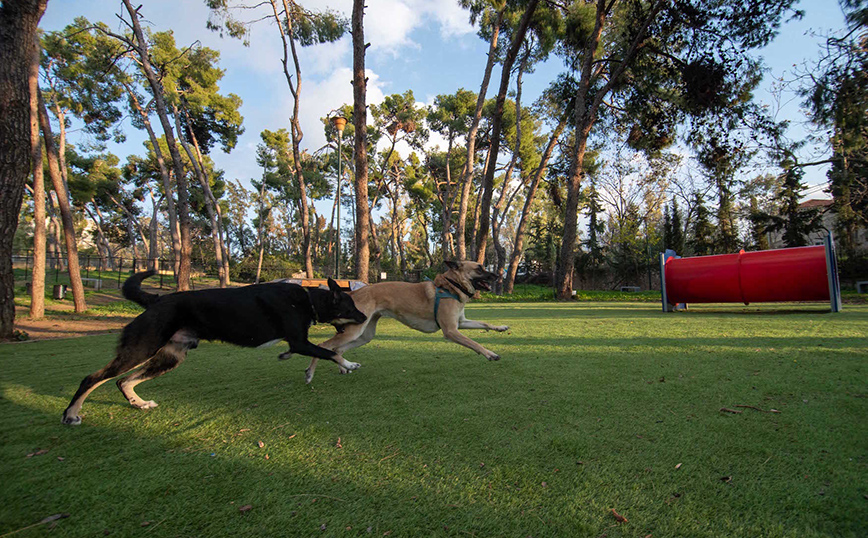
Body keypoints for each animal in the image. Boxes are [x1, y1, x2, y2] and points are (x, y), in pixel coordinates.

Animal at [62, 270, 366, 426]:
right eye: (351, 307)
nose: (364, 317)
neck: (307, 299)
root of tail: (156, 301)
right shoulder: (300, 341)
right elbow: (330, 352)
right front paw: (349, 364)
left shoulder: (298, 342)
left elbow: (308, 351)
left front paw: (287, 357)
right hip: (142, 348)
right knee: (92, 379)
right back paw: (71, 414)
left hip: (170, 357)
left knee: (123, 381)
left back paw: (139, 403)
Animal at [304, 260, 512, 382]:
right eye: (479, 268)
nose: (498, 275)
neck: (450, 286)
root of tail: (355, 292)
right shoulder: (451, 331)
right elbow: (475, 343)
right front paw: (490, 354)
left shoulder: (461, 323)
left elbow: (484, 324)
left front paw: (500, 327)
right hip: (355, 330)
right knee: (323, 345)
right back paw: (310, 373)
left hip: (365, 334)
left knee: (337, 349)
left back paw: (344, 367)